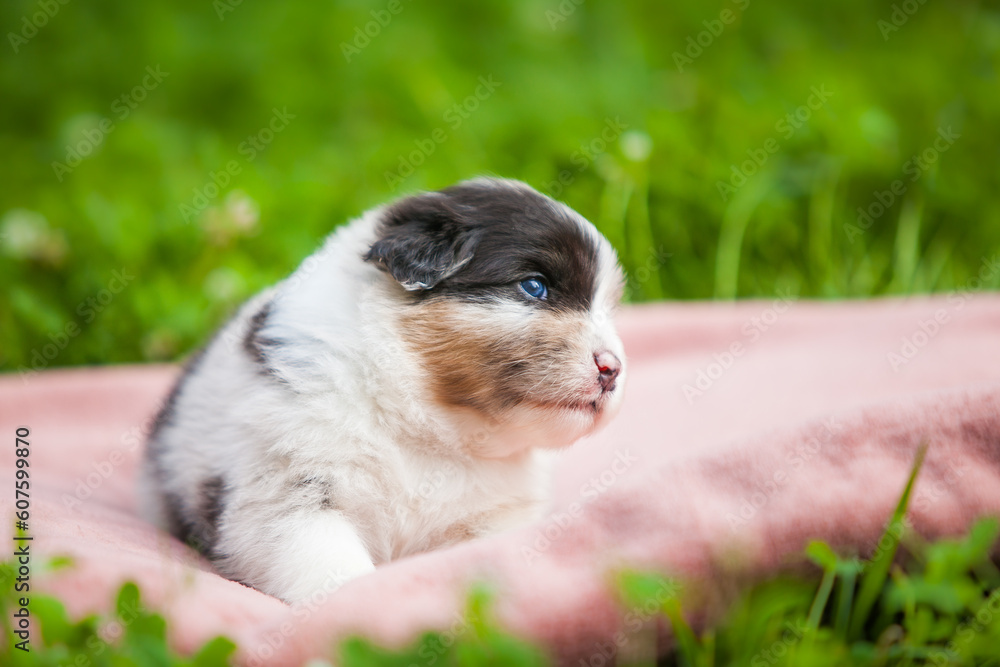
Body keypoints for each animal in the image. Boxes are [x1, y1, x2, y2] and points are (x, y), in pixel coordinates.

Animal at [141, 177, 624, 604]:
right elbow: (333, 571)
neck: (425, 424)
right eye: (534, 286)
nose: (613, 369)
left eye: (607, 307)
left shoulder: (496, 518)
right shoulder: (289, 495)